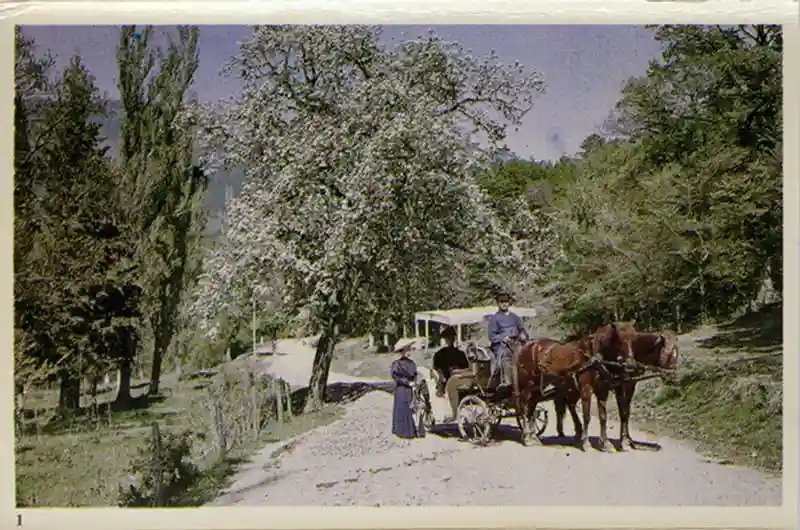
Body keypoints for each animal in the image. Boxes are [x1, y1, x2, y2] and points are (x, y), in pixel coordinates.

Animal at [510, 322, 636, 450]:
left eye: (633, 339)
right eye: (620, 340)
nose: (631, 365)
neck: (593, 356)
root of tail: (526, 346)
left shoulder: (602, 389)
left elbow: (603, 416)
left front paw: (605, 443)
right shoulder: (586, 388)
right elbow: (587, 415)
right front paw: (585, 442)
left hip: (539, 387)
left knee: (532, 406)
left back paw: (533, 437)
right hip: (528, 385)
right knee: (524, 407)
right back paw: (526, 435)